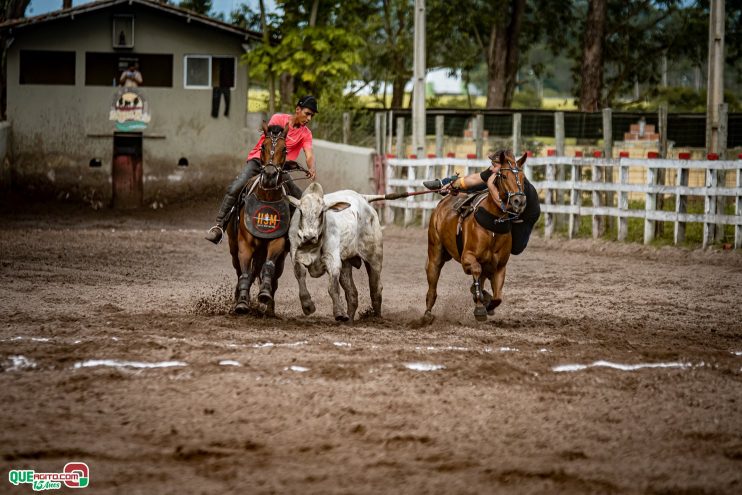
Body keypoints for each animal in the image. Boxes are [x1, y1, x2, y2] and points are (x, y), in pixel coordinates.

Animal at [228, 124, 294, 318]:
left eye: (285, 149)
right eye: (263, 146)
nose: (270, 174)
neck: (267, 197)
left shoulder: (277, 242)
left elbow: (268, 266)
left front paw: (264, 294)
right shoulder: (244, 244)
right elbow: (244, 274)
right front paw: (242, 302)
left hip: (279, 258)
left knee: (272, 276)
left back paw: (269, 307)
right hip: (233, 247)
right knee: (241, 271)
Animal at [424, 149, 528, 324]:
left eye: (522, 176)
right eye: (504, 176)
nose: (519, 201)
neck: (494, 223)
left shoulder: (500, 267)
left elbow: (497, 297)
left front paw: (486, 303)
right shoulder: (467, 257)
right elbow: (476, 271)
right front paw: (480, 306)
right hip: (435, 251)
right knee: (433, 279)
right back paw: (427, 313)